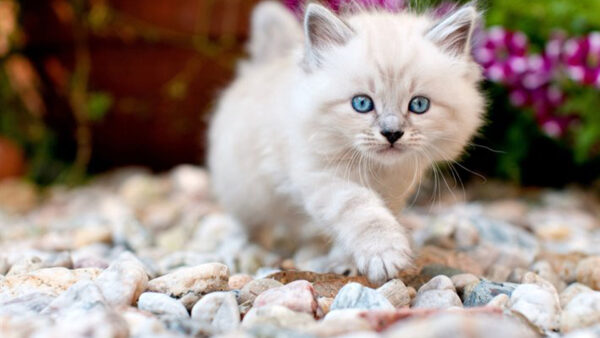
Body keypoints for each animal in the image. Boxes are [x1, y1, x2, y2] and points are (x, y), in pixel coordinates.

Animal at [209, 1, 486, 284]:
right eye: (362, 103)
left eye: (419, 105)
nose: (392, 133)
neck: (378, 170)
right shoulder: (322, 176)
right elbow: (361, 210)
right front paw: (385, 253)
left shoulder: (394, 191)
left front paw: (347, 264)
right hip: (246, 191)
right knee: (250, 225)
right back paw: (249, 254)